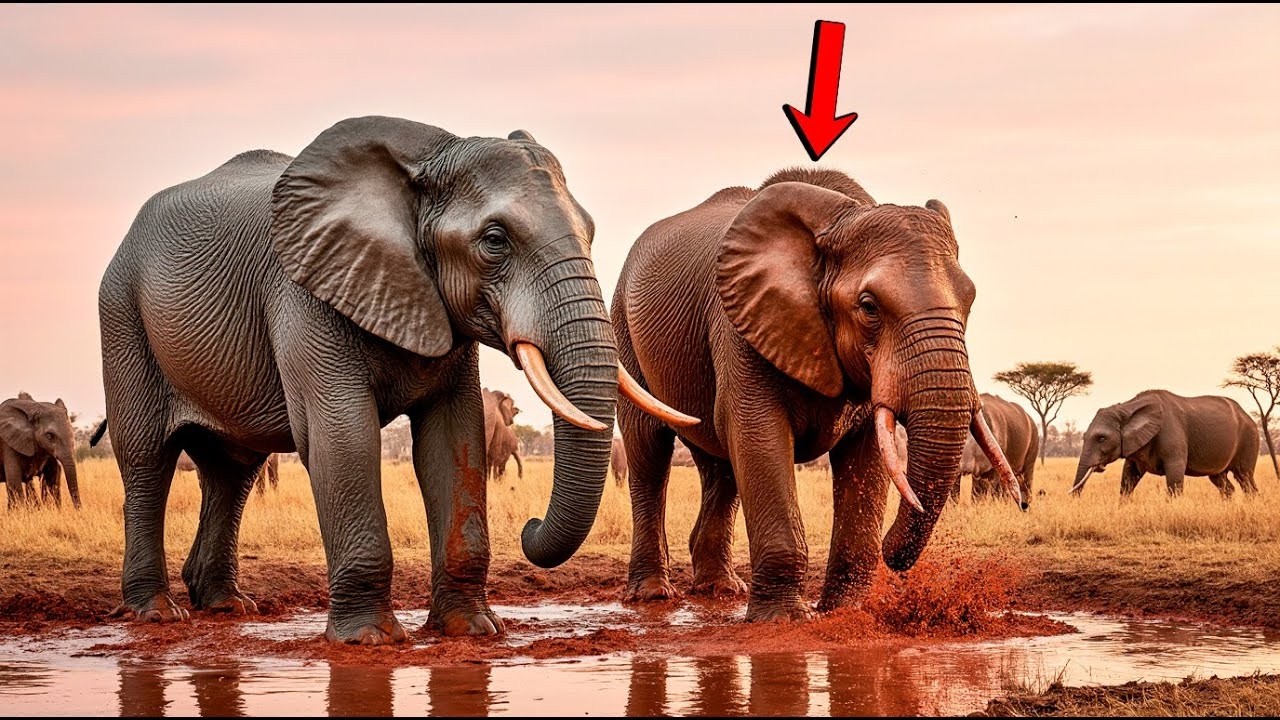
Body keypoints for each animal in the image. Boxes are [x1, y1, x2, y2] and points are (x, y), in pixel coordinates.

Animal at [93, 116, 684, 644]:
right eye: (494, 240)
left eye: (590, 232)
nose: (529, 526)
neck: (431, 153)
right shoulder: (305, 291)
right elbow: (341, 435)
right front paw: (368, 641)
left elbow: (453, 438)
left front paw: (472, 631)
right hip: (121, 313)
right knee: (147, 460)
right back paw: (156, 613)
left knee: (232, 469)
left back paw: (225, 605)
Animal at [613, 168, 1019, 620]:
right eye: (869, 307)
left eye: (970, 302)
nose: (894, 557)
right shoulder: (739, 323)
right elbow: (757, 433)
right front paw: (784, 620)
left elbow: (866, 454)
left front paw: (848, 614)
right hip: (623, 328)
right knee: (649, 449)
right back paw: (653, 594)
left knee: (720, 465)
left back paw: (720, 589)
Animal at [1072, 389, 1259, 497]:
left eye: (1101, 438)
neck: (1128, 407)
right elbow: (1128, 479)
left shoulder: (1173, 435)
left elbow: (1175, 477)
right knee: (1220, 480)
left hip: (1249, 438)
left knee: (1245, 478)